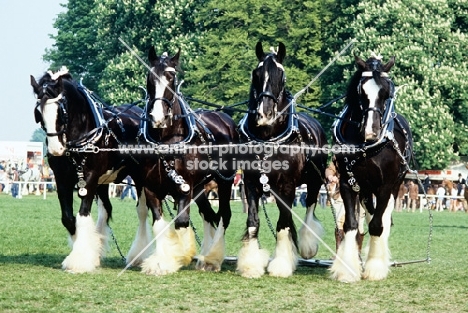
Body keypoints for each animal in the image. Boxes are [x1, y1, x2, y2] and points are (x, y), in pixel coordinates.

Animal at [31, 67, 151, 270]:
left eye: (61, 110)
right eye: (38, 112)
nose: (56, 150)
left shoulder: (89, 178)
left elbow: (82, 215)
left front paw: (79, 259)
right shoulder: (62, 180)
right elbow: (68, 219)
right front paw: (83, 251)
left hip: (139, 177)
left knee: (141, 212)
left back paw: (138, 255)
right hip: (103, 182)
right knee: (106, 210)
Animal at [137, 47, 239, 274]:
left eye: (171, 78)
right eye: (150, 77)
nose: (158, 118)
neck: (167, 140)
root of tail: (226, 120)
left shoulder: (184, 188)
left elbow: (182, 222)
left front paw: (179, 256)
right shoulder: (150, 188)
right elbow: (159, 223)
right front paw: (162, 262)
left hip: (224, 182)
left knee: (224, 215)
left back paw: (213, 259)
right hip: (201, 187)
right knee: (210, 215)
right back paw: (206, 258)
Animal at [238, 40, 326, 276]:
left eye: (282, 75)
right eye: (256, 73)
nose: (265, 114)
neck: (269, 138)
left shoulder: (287, 185)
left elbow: (283, 223)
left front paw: (281, 264)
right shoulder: (251, 182)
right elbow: (253, 221)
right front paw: (251, 264)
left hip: (314, 181)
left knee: (310, 206)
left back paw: (307, 245)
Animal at [330, 54, 414, 282]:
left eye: (386, 92)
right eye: (361, 91)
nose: (371, 131)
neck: (366, 147)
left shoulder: (385, 185)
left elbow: (378, 224)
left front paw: (375, 267)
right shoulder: (347, 182)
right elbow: (350, 224)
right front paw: (347, 269)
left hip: (395, 185)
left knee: (382, 218)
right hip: (366, 189)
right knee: (370, 214)